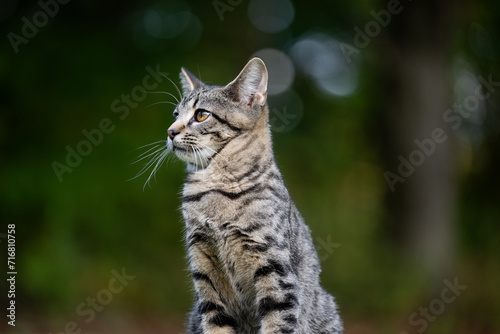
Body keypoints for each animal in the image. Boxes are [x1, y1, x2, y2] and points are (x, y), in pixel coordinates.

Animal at [166, 58, 342, 334]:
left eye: (201, 114)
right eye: (175, 115)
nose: (170, 131)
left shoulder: (274, 269)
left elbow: (276, 322)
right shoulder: (204, 270)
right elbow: (215, 323)